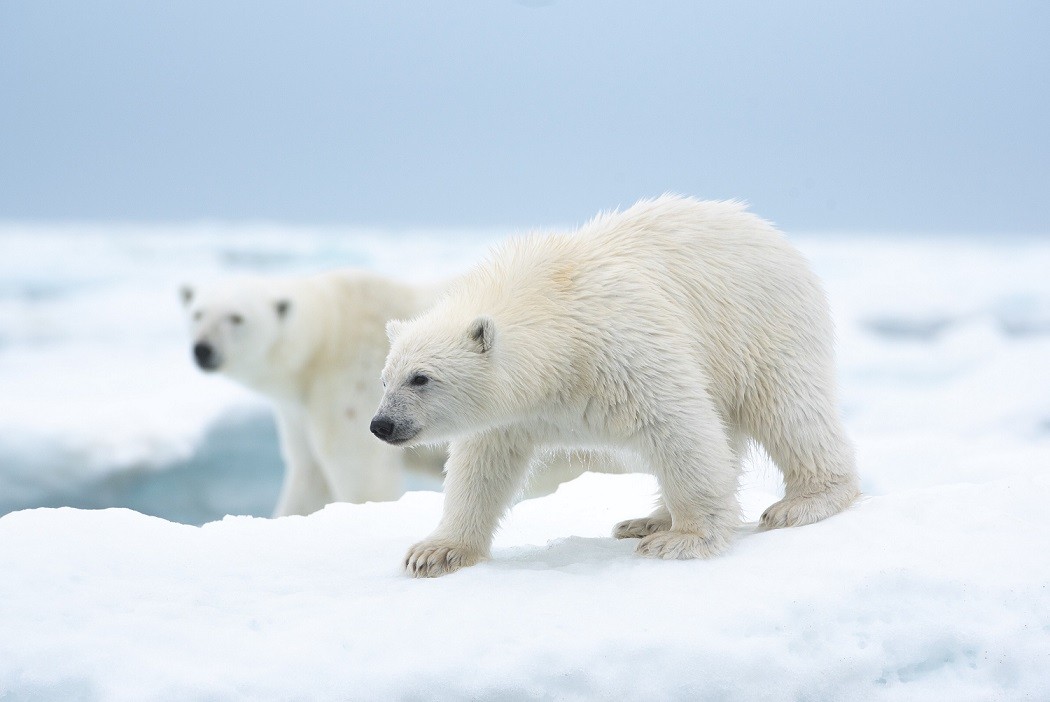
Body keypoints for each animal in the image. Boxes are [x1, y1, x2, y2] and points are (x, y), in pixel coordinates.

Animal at [373, 193, 856, 575]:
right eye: (384, 379)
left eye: (421, 378)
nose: (381, 425)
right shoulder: (513, 413)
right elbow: (481, 465)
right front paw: (435, 552)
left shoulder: (622, 349)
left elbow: (679, 427)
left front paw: (683, 539)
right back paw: (646, 519)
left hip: (760, 326)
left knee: (787, 408)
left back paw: (803, 502)